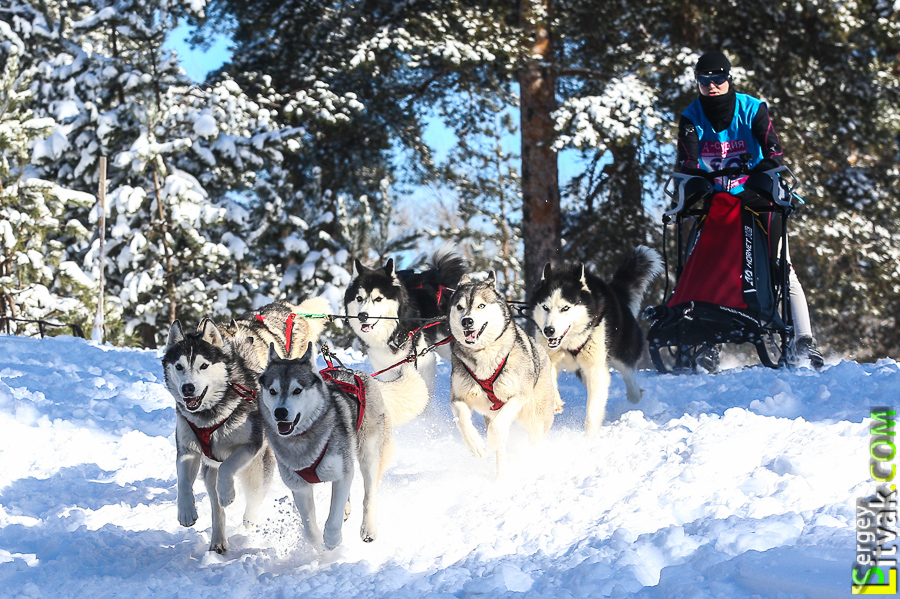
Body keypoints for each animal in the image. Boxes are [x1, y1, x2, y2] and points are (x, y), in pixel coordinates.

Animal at [162, 319, 275, 554]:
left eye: (204, 365)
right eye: (179, 366)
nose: (188, 388)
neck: (209, 418)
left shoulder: (251, 444)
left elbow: (227, 466)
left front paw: (227, 493)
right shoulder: (187, 450)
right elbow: (183, 480)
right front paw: (185, 511)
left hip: (258, 467)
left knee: (254, 495)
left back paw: (249, 518)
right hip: (209, 474)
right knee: (217, 509)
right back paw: (218, 540)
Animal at [258, 342, 404, 550]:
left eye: (297, 390)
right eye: (272, 391)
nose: (280, 412)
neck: (302, 442)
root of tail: (356, 373)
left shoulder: (342, 474)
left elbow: (334, 516)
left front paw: (332, 540)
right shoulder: (299, 486)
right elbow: (310, 528)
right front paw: (319, 545)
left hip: (368, 454)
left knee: (369, 494)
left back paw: (368, 528)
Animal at [344, 246, 466, 394]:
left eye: (378, 298)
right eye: (359, 298)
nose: (362, 316)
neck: (393, 332)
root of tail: (436, 275)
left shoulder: (422, 361)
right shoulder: (387, 368)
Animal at [448, 271, 562, 479]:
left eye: (481, 305)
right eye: (459, 307)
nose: (466, 321)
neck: (483, 353)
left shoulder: (518, 395)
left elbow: (497, 427)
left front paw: (493, 439)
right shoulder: (458, 397)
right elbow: (462, 419)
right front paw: (475, 444)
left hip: (536, 418)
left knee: (535, 441)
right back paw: (501, 475)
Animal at [530, 246, 663, 436]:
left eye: (565, 308)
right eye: (545, 307)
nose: (549, 330)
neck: (569, 342)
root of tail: (616, 293)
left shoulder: (596, 368)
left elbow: (593, 409)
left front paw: (590, 437)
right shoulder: (549, 356)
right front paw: (554, 402)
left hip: (622, 353)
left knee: (629, 378)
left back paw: (635, 395)